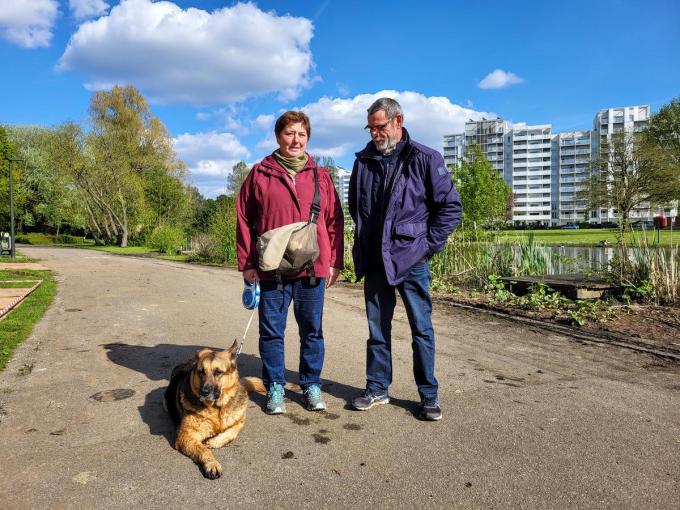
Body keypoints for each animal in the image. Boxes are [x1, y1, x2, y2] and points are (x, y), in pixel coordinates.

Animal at [163, 340, 264, 480]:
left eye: (218, 372)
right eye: (201, 372)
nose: (204, 392)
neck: (217, 409)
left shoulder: (239, 422)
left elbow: (232, 432)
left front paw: (215, 441)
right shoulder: (185, 435)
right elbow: (203, 449)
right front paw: (212, 464)